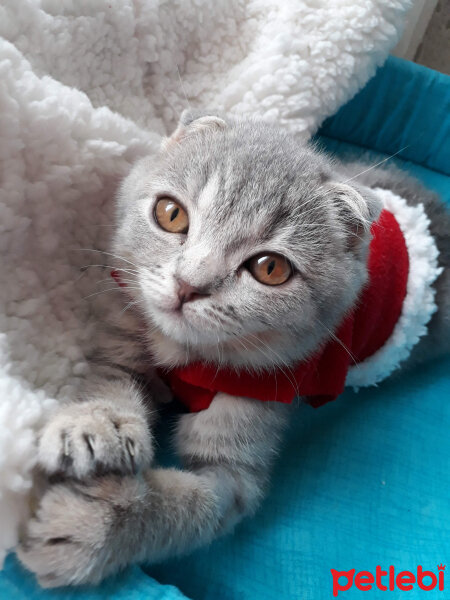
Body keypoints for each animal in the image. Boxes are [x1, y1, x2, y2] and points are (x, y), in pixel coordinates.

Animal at [18, 112, 450, 584]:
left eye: (270, 268)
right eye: (171, 214)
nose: (188, 285)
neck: (186, 358)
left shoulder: (246, 441)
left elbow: (194, 505)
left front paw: (96, 525)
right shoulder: (128, 335)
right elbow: (111, 377)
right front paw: (96, 424)